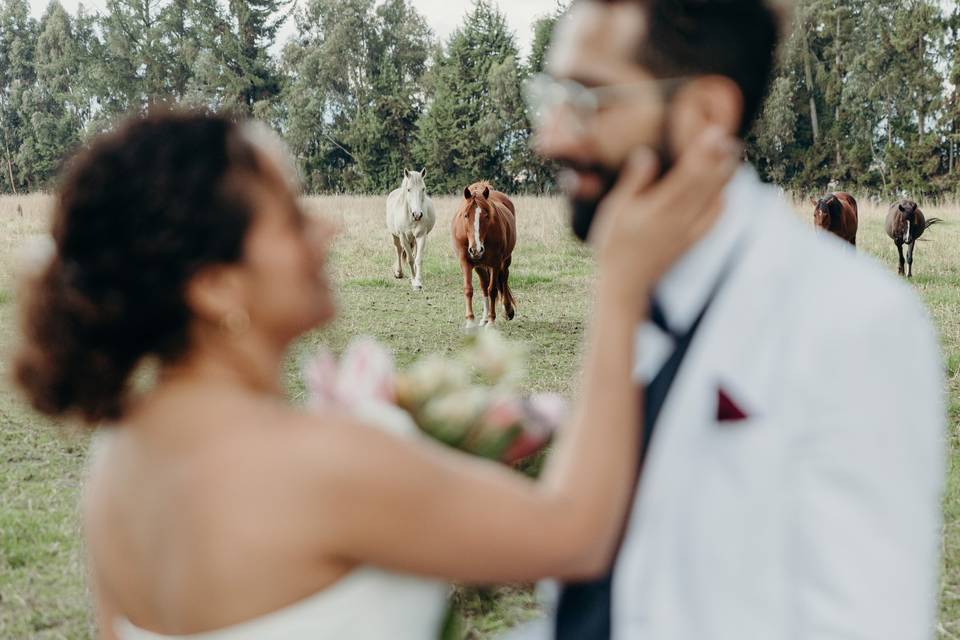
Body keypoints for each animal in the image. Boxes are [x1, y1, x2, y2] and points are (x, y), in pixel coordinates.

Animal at [452, 181, 516, 328]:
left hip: (505, 261)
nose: (476, 249)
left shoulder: (495, 263)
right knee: (484, 286)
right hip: (480, 266)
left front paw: (492, 321)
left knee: (504, 279)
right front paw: (470, 320)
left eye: (486, 215)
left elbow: (493, 290)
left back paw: (506, 310)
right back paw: (484, 318)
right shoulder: (465, 262)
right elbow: (469, 289)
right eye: (466, 215)